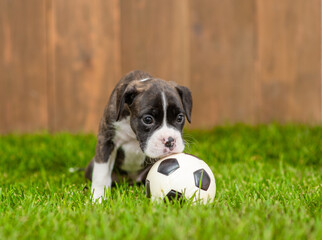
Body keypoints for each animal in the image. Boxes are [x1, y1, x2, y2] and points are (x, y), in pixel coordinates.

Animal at [84, 70, 192, 202]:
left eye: (180, 117)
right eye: (147, 119)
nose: (170, 141)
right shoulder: (106, 140)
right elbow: (101, 173)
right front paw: (98, 198)